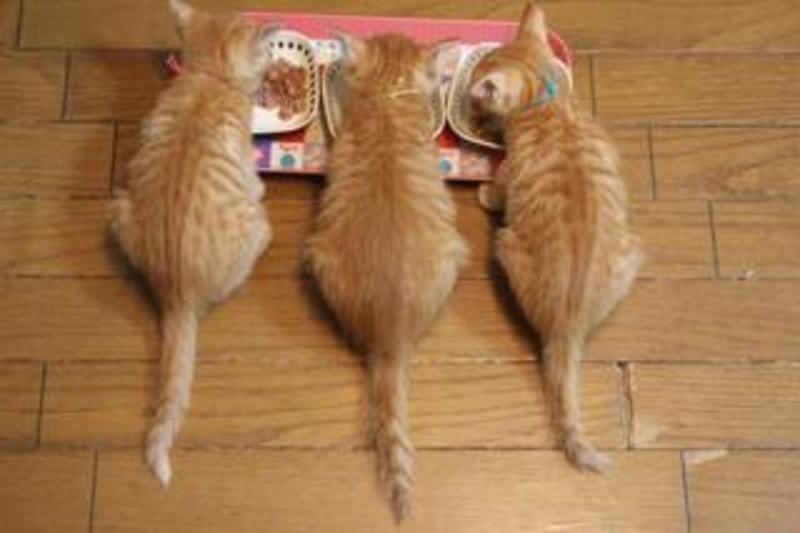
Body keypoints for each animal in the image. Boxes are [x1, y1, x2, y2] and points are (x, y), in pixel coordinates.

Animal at [110, 0, 275, 485]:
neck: (207, 78)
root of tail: (176, 295)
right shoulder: (248, 170)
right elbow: (255, 177)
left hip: (119, 205)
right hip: (258, 222)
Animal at [468, 2, 642, 472]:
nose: (472, 106)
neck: (552, 105)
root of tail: (569, 326)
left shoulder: (509, 176)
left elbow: (498, 189)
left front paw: (484, 192)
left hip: (505, 242)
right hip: (632, 250)